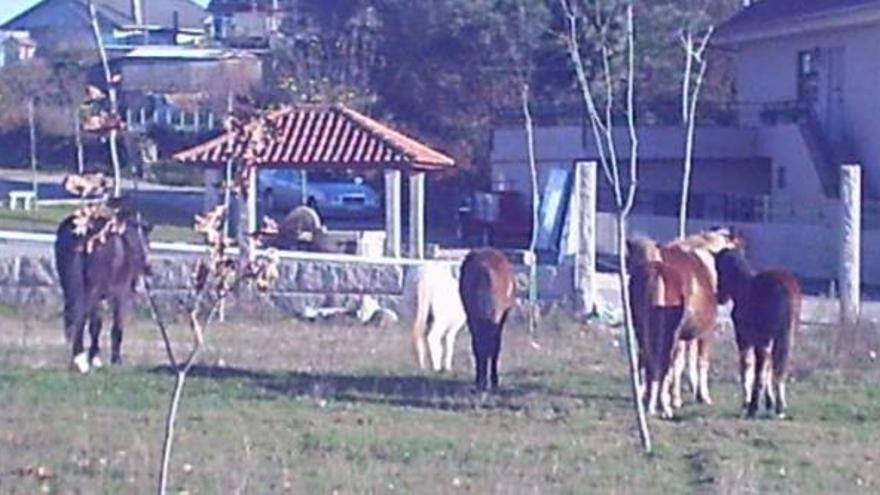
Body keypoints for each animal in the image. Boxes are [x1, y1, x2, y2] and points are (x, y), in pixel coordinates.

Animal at [55, 200, 152, 374]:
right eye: (147, 241)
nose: (149, 268)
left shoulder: (98, 297)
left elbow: (96, 325)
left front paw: (95, 357)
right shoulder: (121, 293)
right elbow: (116, 326)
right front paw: (115, 360)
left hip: (71, 287)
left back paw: (78, 359)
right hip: (91, 290)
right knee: (80, 316)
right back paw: (80, 361)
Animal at [712, 248, 800, 418]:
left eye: (718, 270)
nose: (719, 297)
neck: (744, 289)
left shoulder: (745, 339)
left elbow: (747, 366)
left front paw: (746, 403)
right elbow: (767, 368)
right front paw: (769, 402)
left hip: (766, 339)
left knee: (762, 368)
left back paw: (753, 408)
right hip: (786, 338)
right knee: (779, 367)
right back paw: (779, 407)